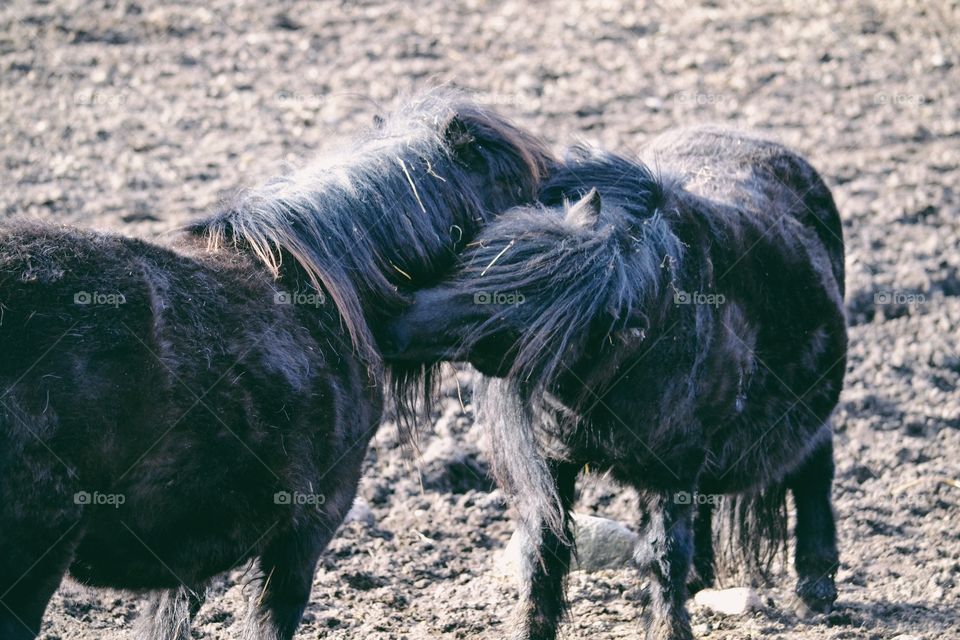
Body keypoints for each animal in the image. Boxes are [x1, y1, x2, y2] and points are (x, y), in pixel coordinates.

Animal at [382, 130, 848, 640]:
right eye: (475, 261)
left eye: (519, 315)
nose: (392, 326)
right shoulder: (554, 459)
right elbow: (544, 547)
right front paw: (531, 628)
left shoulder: (673, 469)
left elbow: (664, 554)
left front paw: (669, 629)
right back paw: (704, 578)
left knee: (814, 471)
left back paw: (815, 587)